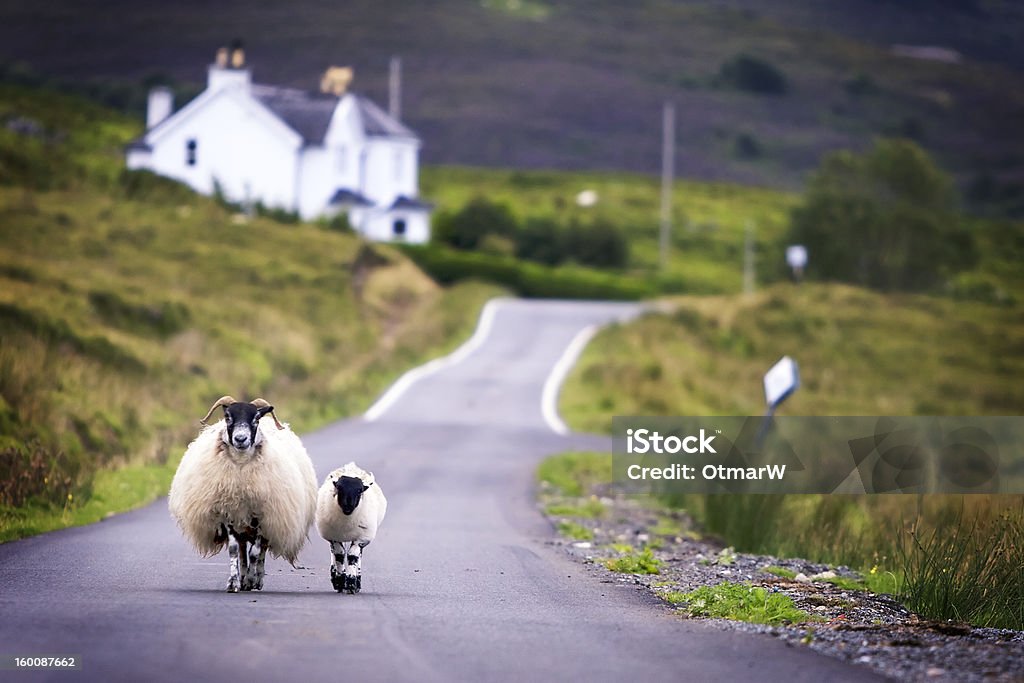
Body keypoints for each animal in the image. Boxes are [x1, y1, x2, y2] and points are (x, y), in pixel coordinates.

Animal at [167, 395, 315, 593]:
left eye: (256, 419)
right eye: (228, 417)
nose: (240, 439)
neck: (240, 469)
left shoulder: (261, 515)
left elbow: (255, 553)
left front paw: (252, 579)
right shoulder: (228, 512)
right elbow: (234, 549)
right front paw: (233, 582)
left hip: (270, 520)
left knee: (260, 551)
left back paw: (256, 579)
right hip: (242, 522)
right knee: (243, 549)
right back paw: (244, 578)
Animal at [313, 464, 385, 593]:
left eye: (359, 490)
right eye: (339, 487)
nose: (348, 505)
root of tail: (351, 466)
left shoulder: (361, 538)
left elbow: (353, 556)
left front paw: (351, 583)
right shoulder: (334, 537)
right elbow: (339, 554)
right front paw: (340, 581)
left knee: (358, 556)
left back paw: (357, 581)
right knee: (333, 552)